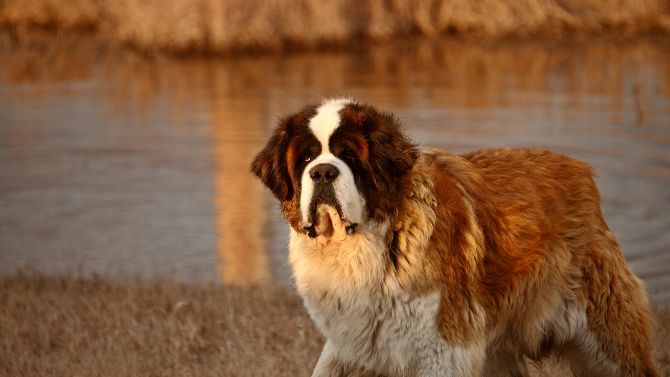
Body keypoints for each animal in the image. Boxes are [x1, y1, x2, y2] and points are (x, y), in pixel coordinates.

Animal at [249, 98, 660, 374]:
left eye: (349, 156)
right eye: (305, 159)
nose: (322, 172)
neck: (365, 242)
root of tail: (581, 170)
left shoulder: (443, 348)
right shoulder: (354, 344)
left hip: (607, 340)